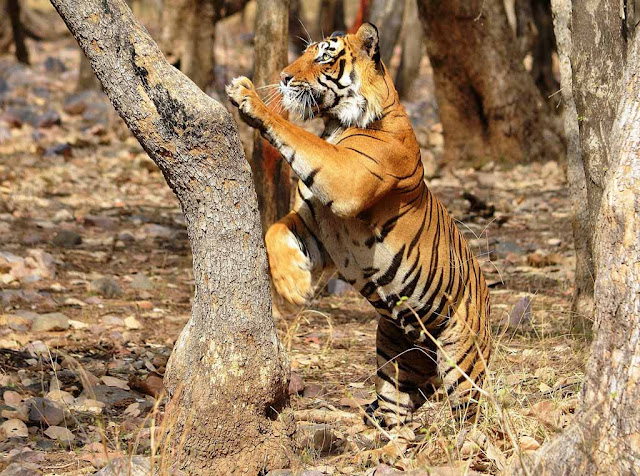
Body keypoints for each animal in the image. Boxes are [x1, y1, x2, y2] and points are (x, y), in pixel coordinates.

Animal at [228, 21, 492, 428]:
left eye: (323, 57)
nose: (284, 76)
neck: (334, 125)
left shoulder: (345, 176)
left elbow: (294, 132)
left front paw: (248, 95)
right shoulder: (316, 227)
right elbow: (274, 230)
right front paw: (293, 282)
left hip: (462, 360)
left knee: (474, 414)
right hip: (397, 356)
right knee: (396, 416)